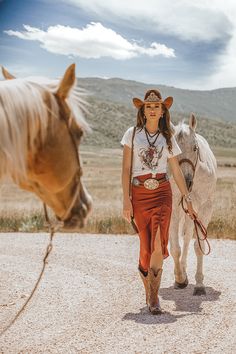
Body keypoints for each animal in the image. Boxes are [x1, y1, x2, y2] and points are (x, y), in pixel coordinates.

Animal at [170, 115, 218, 294]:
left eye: (195, 148)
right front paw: (180, 279)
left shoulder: (205, 208)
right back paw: (182, 273)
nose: (186, 182)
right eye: (172, 150)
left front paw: (199, 285)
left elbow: (199, 245)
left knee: (188, 237)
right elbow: (175, 248)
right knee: (183, 239)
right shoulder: (174, 208)